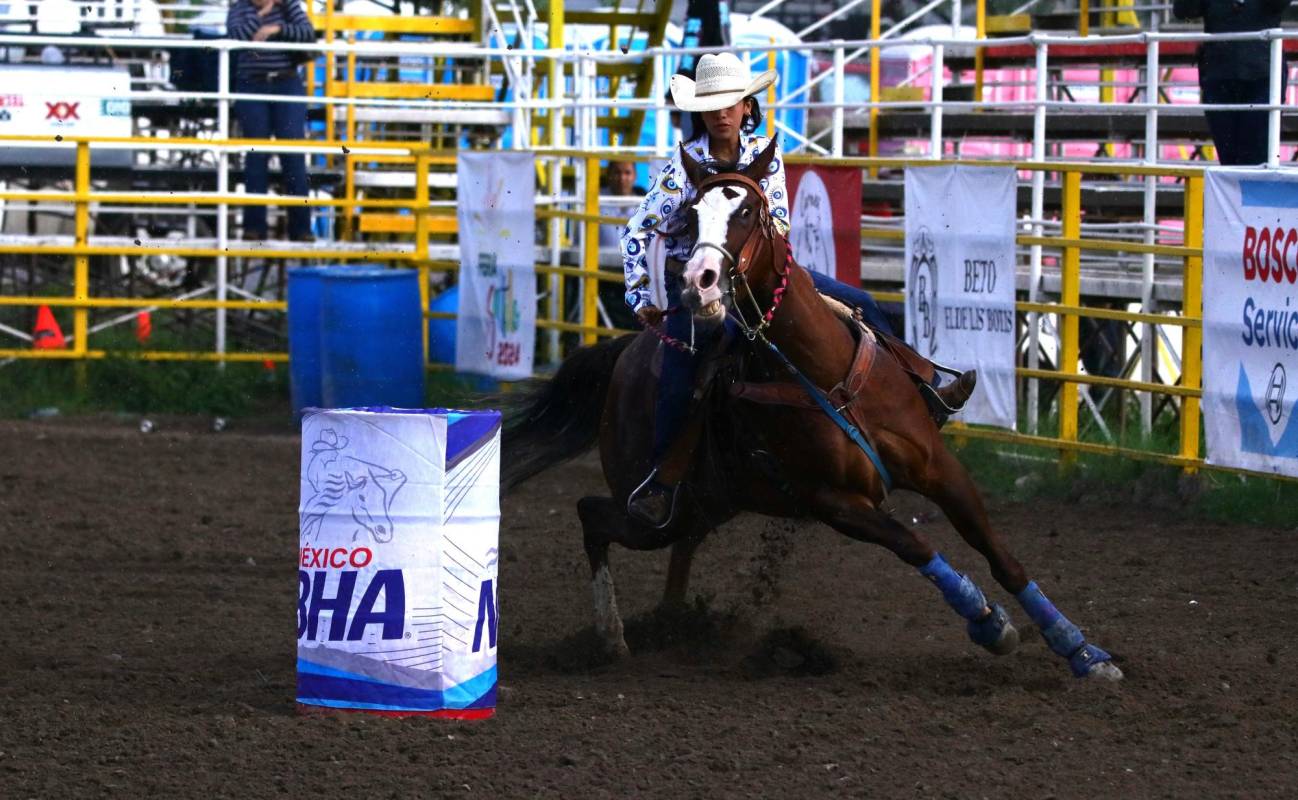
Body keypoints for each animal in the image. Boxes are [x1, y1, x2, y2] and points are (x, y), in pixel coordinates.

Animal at [501, 142, 1121, 680]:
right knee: (591, 515)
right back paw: (613, 635)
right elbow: (917, 545)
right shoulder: (836, 501)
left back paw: (673, 625)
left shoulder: (939, 468)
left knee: (676, 545)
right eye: (690, 216)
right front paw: (989, 623)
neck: (824, 372)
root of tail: (626, 350)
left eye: (748, 210)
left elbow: (998, 553)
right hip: (653, 509)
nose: (699, 282)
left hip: (704, 504)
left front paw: (1082, 650)